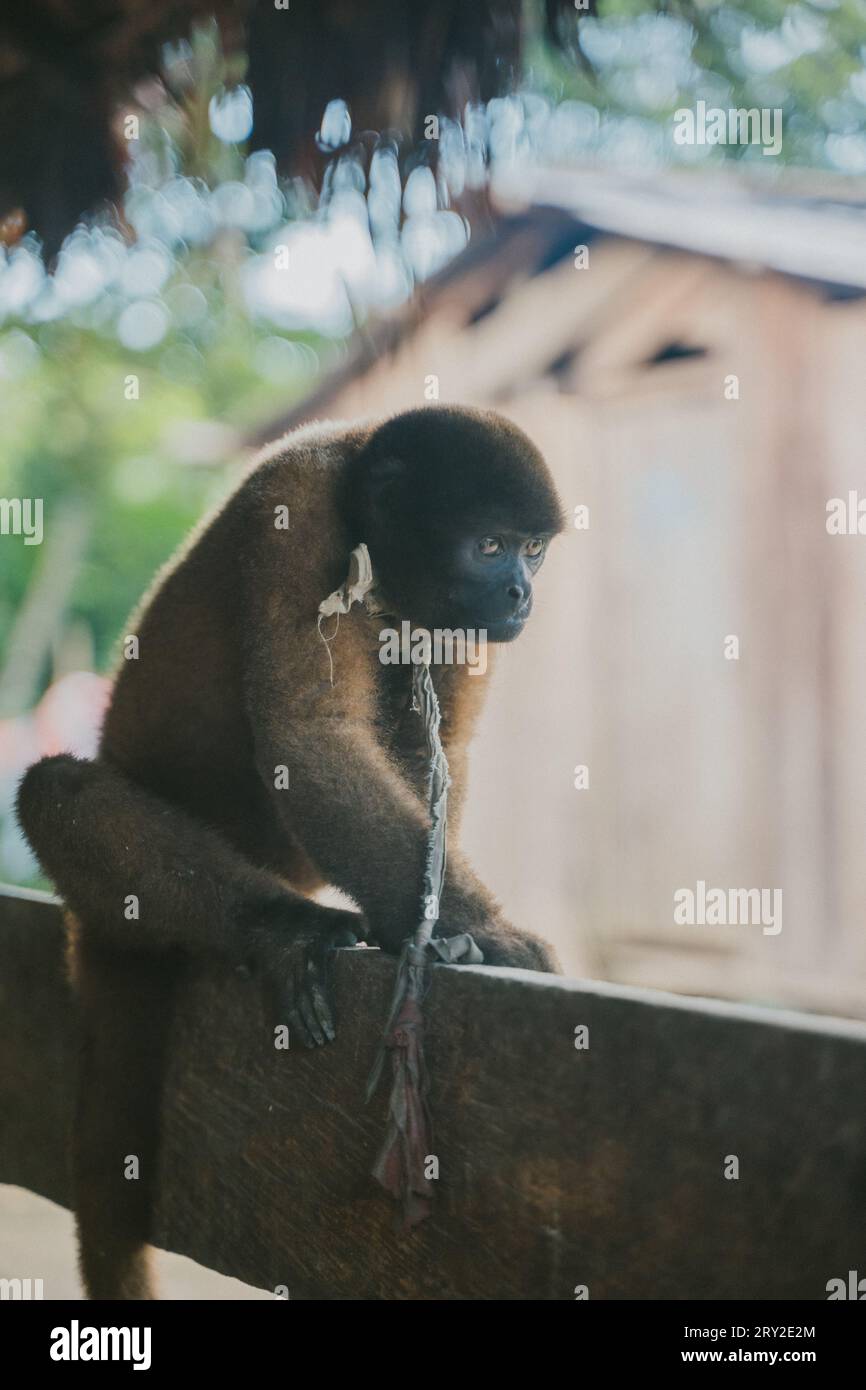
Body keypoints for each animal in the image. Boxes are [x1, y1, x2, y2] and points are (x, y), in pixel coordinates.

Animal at [16, 404, 564, 1299]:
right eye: (491, 546)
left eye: (535, 548)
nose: (524, 592)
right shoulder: (295, 508)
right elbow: (308, 739)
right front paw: (486, 928)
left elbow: (437, 747)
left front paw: (427, 925)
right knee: (51, 790)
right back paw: (279, 927)